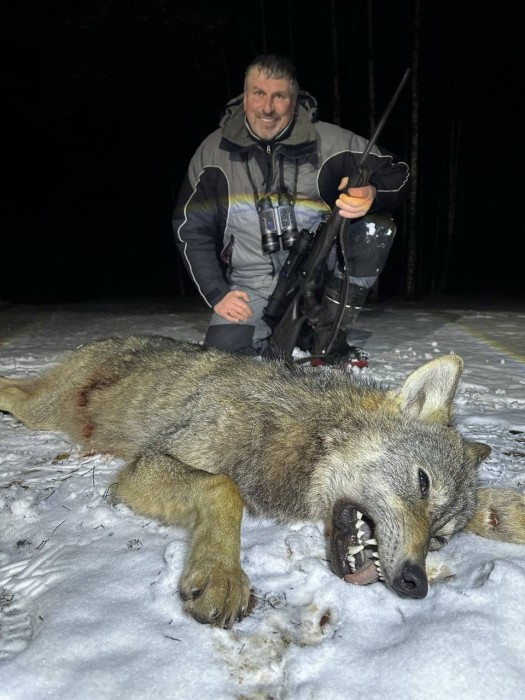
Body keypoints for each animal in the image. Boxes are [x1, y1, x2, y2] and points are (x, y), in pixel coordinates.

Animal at [0, 335, 524, 628]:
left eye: (439, 539)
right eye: (422, 483)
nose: (416, 583)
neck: (306, 435)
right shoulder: (146, 467)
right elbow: (224, 488)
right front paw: (221, 577)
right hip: (40, 410)